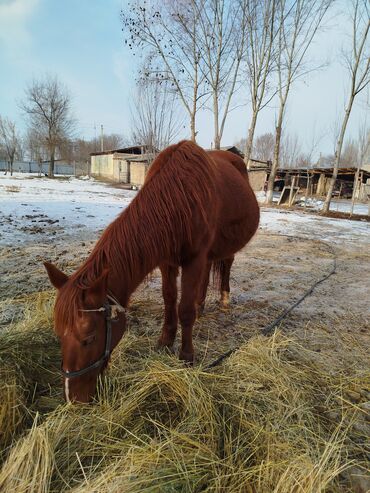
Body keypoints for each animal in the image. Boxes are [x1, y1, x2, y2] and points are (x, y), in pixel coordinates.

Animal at [44, 140, 260, 402]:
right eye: (59, 334)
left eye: (89, 338)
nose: (73, 398)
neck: (180, 196)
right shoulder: (166, 261)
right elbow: (169, 300)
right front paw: (165, 340)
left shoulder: (193, 260)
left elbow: (184, 310)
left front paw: (186, 356)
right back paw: (201, 304)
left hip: (226, 246)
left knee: (226, 265)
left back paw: (224, 300)